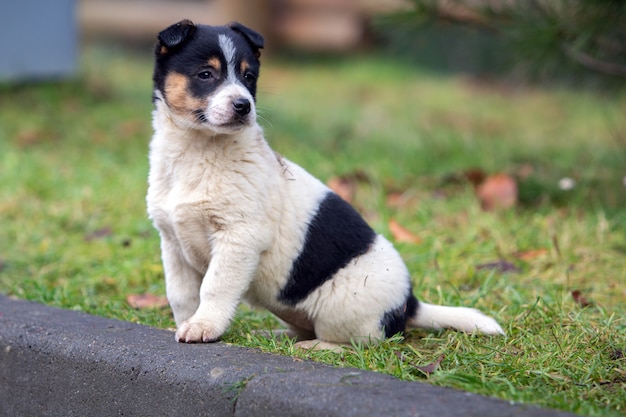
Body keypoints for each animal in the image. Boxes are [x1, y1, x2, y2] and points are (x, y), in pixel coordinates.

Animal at [146, 20, 502, 348]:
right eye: (206, 74)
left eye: (249, 77)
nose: (244, 106)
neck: (197, 150)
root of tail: (409, 304)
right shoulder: (172, 242)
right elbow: (181, 294)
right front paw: (186, 322)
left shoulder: (239, 237)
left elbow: (215, 287)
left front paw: (204, 325)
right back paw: (274, 334)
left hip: (343, 308)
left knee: (360, 341)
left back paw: (315, 346)